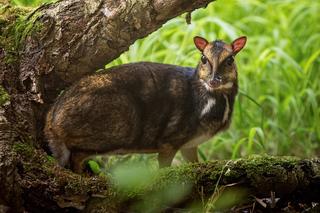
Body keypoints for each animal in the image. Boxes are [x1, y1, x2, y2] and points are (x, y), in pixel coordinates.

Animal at [44, 35, 245, 172]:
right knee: (77, 156)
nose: (214, 80)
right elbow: (164, 170)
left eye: (230, 59)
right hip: (115, 130)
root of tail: (51, 120)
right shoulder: (169, 140)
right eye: (204, 58)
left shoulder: (190, 144)